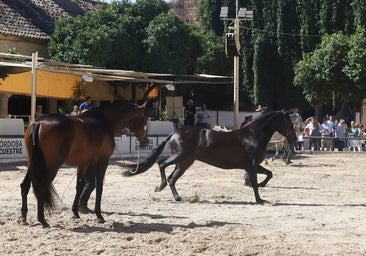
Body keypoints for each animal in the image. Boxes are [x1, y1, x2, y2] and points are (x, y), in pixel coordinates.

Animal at [20, 101, 148, 227]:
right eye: (144, 120)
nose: (145, 142)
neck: (104, 122)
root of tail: (39, 122)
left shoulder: (83, 164)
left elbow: (79, 186)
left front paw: (75, 212)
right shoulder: (102, 162)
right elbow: (99, 187)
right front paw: (99, 216)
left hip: (33, 163)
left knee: (25, 186)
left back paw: (23, 217)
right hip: (52, 166)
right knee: (41, 187)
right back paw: (42, 220)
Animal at [123, 110, 298, 204]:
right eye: (288, 123)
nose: (295, 140)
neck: (252, 135)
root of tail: (174, 133)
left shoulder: (252, 166)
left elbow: (269, 174)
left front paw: (258, 187)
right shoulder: (252, 164)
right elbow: (256, 181)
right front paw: (259, 199)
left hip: (184, 163)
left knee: (172, 178)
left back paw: (177, 197)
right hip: (180, 157)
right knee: (161, 164)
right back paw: (161, 186)